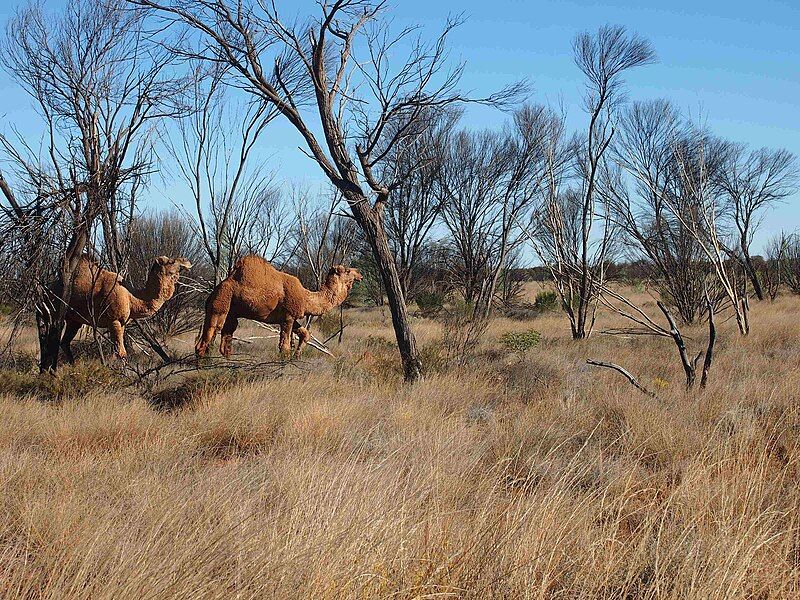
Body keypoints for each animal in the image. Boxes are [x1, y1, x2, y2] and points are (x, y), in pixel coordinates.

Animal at [58, 254, 193, 360]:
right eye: (171, 261)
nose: (187, 261)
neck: (132, 298)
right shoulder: (114, 320)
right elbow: (120, 352)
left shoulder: (122, 322)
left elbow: (120, 351)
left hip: (74, 321)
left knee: (64, 342)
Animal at [196, 254, 362, 358]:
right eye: (347, 270)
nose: (360, 273)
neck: (305, 297)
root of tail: (213, 292)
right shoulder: (288, 317)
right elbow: (285, 348)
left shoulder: (291, 317)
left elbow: (305, 334)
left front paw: (298, 356)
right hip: (220, 305)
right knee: (206, 340)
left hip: (231, 313)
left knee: (224, 342)